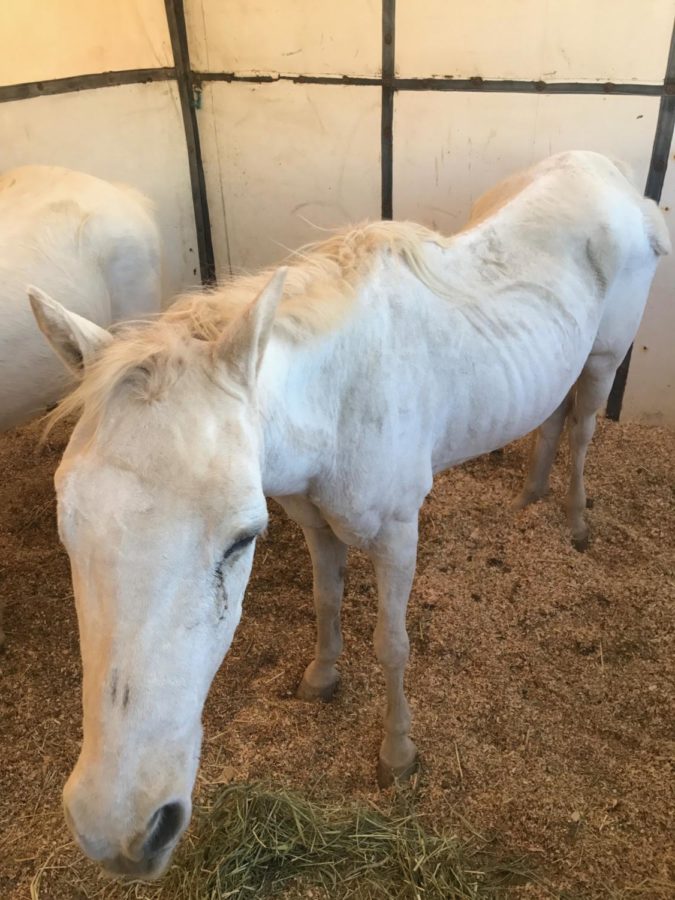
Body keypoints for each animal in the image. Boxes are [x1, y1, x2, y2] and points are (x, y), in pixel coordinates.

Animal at [27, 151, 672, 876]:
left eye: (240, 540)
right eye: (69, 529)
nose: (117, 829)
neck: (341, 396)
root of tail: (602, 171)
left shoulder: (396, 535)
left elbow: (392, 645)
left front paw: (398, 755)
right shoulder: (314, 520)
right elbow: (326, 601)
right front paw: (321, 677)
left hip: (604, 360)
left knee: (582, 428)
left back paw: (576, 522)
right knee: (554, 417)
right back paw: (528, 499)